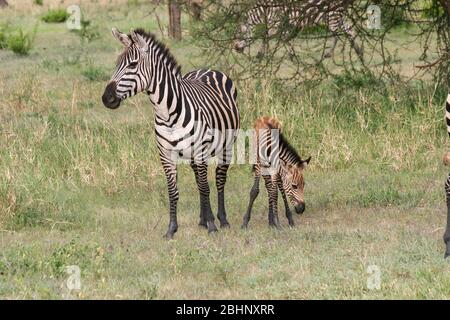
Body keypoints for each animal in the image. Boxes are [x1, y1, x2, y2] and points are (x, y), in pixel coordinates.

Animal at [102, 28, 241, 239]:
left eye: (133, 64)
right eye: (117, 63)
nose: (106, 98)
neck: (166, 113)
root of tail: (209, 69)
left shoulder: (200, 150)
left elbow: (205, 187)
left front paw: (212, 225)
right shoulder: (166, 154)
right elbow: (173, 191)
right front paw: (171, 229)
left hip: (226, 146)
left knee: (219, 180)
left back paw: (222, 220)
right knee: (200, 181)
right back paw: (202, 220)